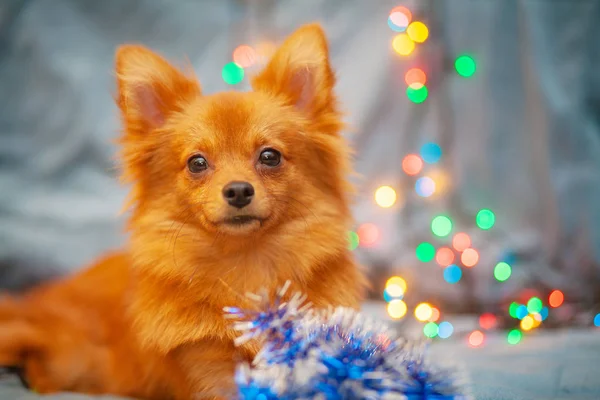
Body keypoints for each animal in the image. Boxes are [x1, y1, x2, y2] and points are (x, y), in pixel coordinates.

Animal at [0, 23, 368, 398]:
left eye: (270, 156)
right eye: (197, 163)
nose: (238, 190)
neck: (245, 269)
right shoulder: (206, 369)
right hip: (74, 359)